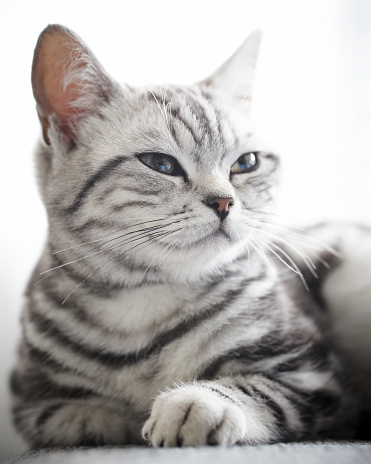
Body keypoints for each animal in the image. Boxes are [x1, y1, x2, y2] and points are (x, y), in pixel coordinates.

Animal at [10, 23, 370, 448]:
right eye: (160, 163)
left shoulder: (316, 378)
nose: (224, 202)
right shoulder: (29, 397)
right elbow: (65, 418)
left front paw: (195, 402)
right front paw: (108, 419)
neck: (143, 302)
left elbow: (258, 390)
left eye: (246, 163)